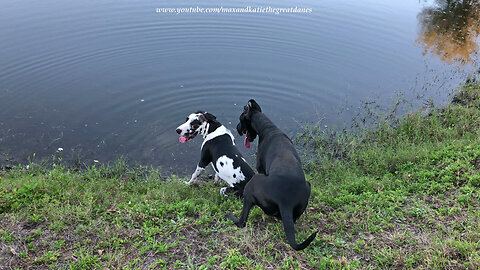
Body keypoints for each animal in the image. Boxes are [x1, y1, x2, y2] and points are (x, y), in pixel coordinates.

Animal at [226, 99, 316, 251]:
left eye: (240, 119)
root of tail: (286, 202)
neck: (268, 127)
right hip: (308, 187)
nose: (237, 128)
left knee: (242, 221)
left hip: (252, 184)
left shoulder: (260, 169)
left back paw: (231, 217)